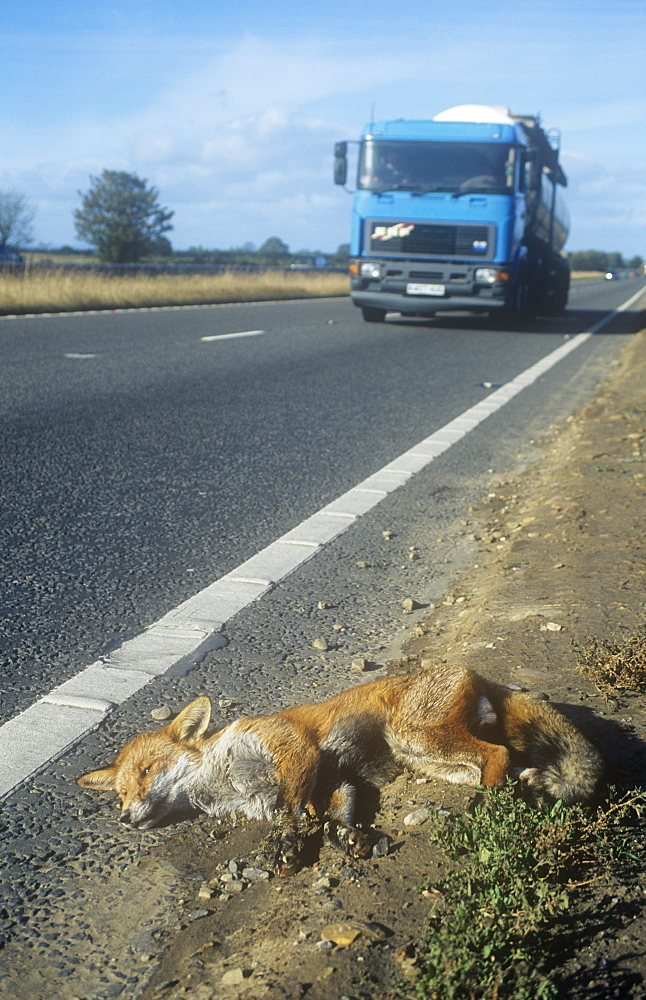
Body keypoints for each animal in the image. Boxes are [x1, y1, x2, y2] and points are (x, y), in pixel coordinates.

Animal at [78, 668, 604, 872]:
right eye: (119, 794)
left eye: (146, 772)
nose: (125, 817)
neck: (227, 781)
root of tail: (472, 671)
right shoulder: (333, 780)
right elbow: (333, 815)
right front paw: (346, 837)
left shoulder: (293, 750)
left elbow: (289, 813)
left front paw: (286, 847)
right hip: (428, 758)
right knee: (508, 763)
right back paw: (528, 792)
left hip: (412, 735)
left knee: (496, 757)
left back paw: (487, 812)